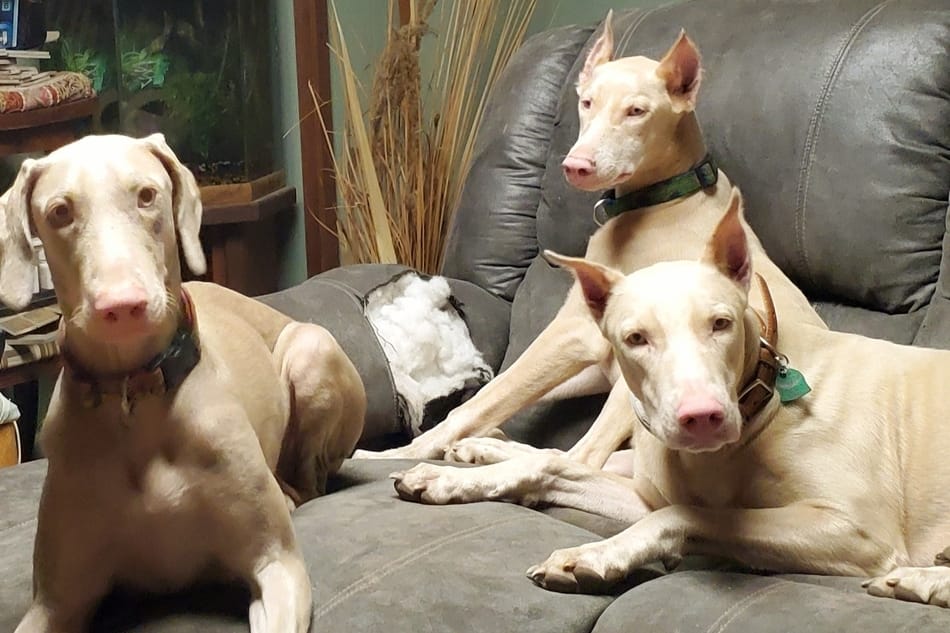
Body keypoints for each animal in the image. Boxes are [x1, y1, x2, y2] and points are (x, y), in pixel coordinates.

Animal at [1, 135, 366, 632]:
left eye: (146, 195)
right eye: (60, 211)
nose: (122, 307)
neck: (135, 394)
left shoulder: (278, 562)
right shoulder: (56, 601)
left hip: (313, 349)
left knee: (311, 480)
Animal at [356, 11, 824, 464]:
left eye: (637, 111)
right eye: (586, 102)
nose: (575, 166)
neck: (664, 196)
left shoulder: (573, 329)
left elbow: (484, 401)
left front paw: (400, 452)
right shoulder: (597, 357)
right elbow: (497, 392)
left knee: (583, 457)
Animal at [390, 194, 950, 608]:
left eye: (721, 323)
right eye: (636, 338)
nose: (702, 418)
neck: (760, 403)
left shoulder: (854, 528)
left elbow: (689, 514)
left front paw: (596, 554)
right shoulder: (648, 489)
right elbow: (560, 466)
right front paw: (449, 478)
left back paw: (921, 580)